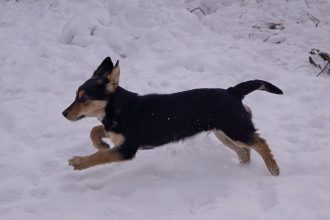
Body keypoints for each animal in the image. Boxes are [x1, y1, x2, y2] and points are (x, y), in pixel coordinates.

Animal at [63, 56, 282, 175]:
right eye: (76, 96)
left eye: (84, 99)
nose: (64, 113)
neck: (118, 107)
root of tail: (233, 92)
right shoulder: (114, 132)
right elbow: (95, 130)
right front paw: (101, 143)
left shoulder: (127, 149)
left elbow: (100, 156)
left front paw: (79, 162)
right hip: (224, 132)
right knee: (245, 151)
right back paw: (242, 170)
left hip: (235, 129)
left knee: (260, 142)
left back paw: (273, 169)